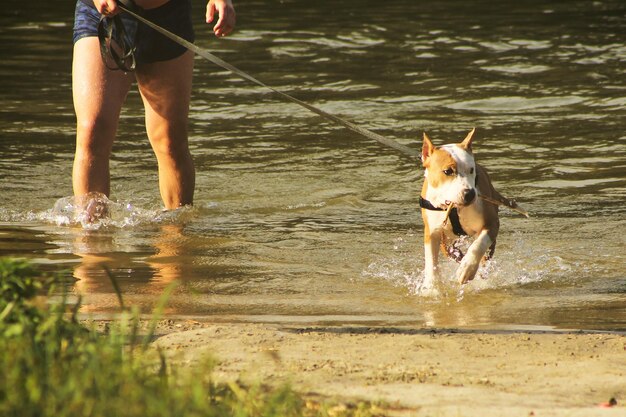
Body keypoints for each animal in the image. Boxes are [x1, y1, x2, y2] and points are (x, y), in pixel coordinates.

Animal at [416, 128, 504, 290]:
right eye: (447, 171)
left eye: (471, 170)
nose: (469, 193)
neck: (454, 207)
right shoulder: (432, 232)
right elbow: (430, 261)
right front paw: (431, 288)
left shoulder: (492, 223)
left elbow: (478, 245)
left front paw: (467, 269)